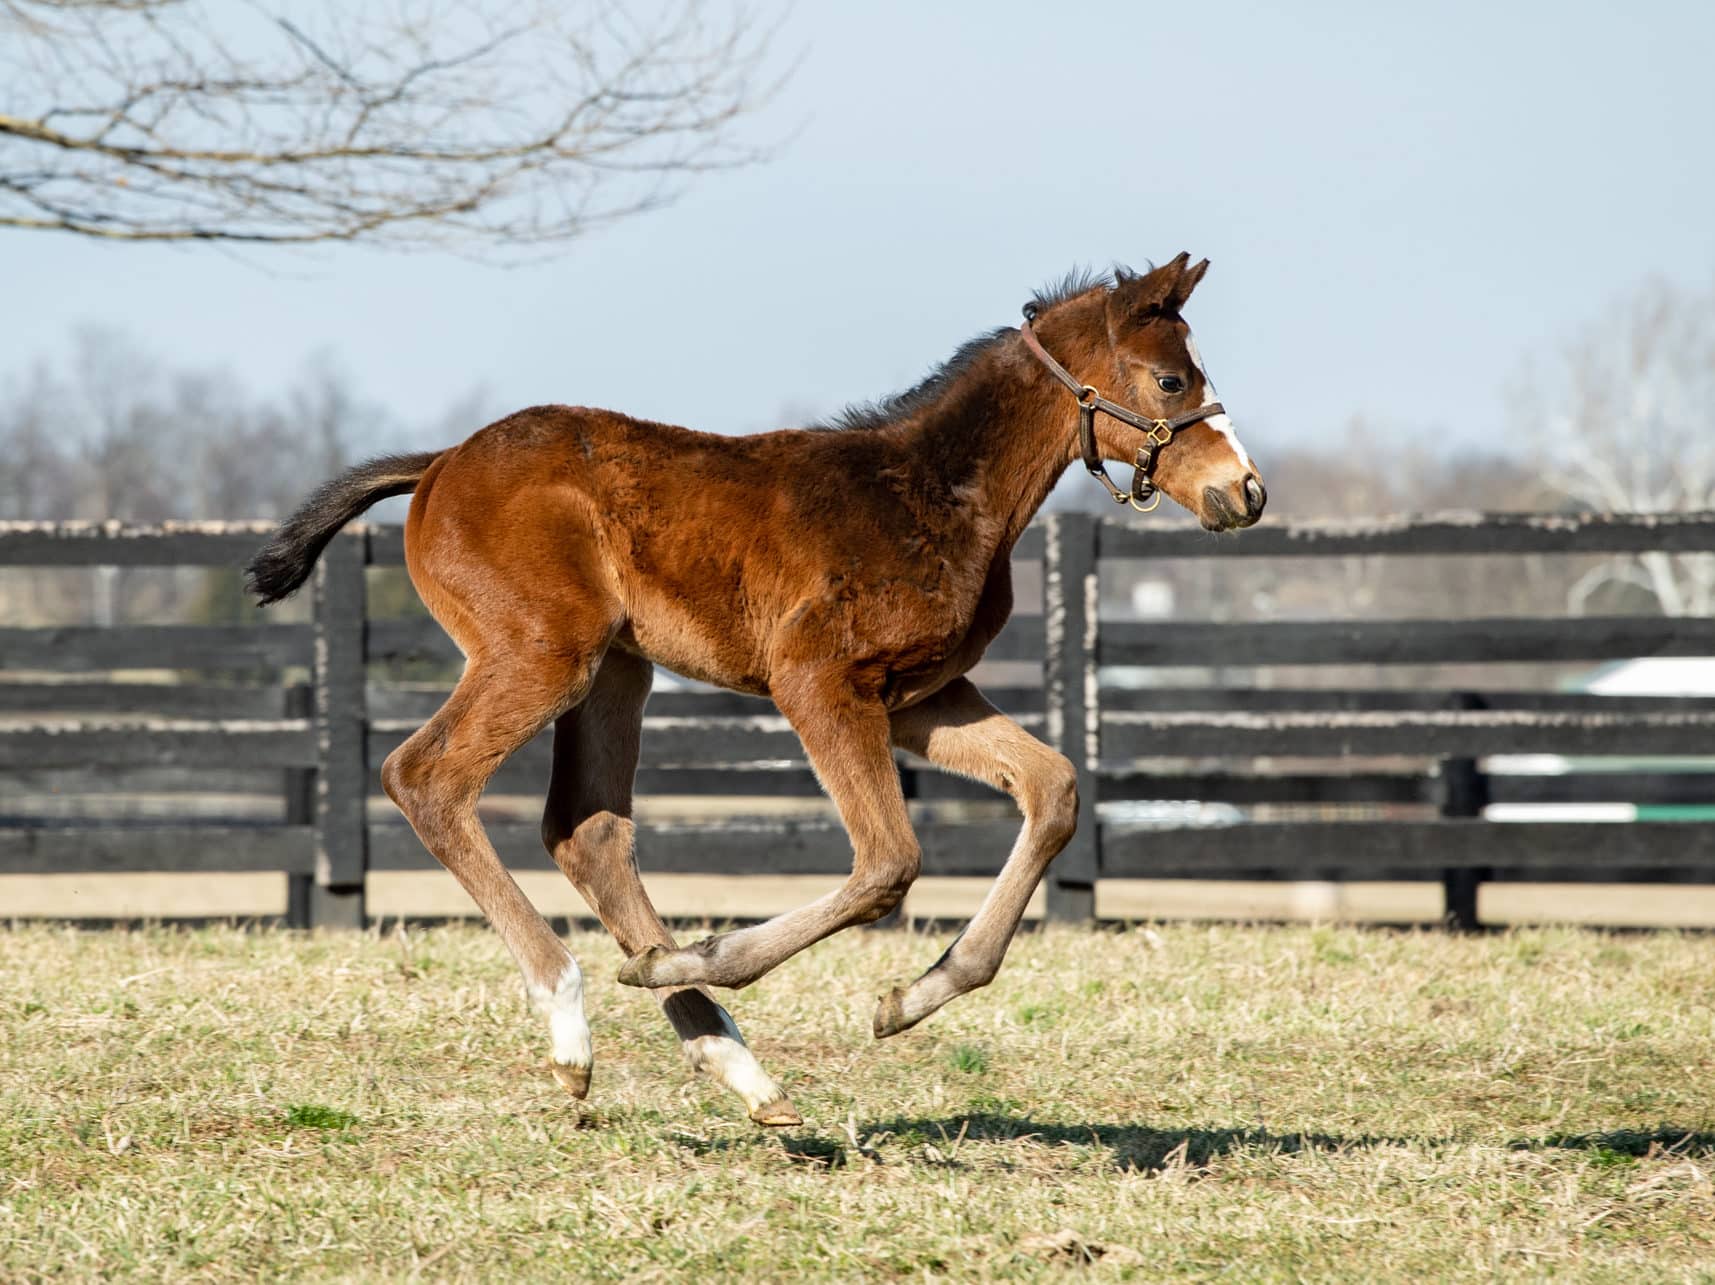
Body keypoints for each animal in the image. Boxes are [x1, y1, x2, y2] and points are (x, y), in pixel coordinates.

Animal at [248, 255, 1262, 1118]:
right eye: (1171, 382)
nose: (1245, 492)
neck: (932, 493)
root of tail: (438, 467)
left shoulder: (919, 697)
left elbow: (1052, 788)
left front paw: (915, 994)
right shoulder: (815, 680)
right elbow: (887, 862)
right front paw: (713, 956)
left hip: (618, 668)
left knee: (586, 832)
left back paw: (728, 1055)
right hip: (541, 655)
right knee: (427, 778)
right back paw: (578, 1021)